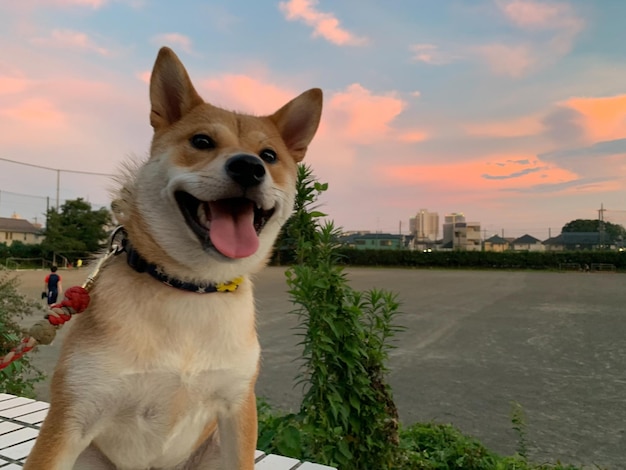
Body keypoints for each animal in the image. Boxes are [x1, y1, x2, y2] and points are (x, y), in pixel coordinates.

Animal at [24, 46, 322, 470]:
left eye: (269, 155)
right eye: (202, 141)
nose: (249, 167)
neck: (190, 287)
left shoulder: (237, 405)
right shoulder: (74, 413)